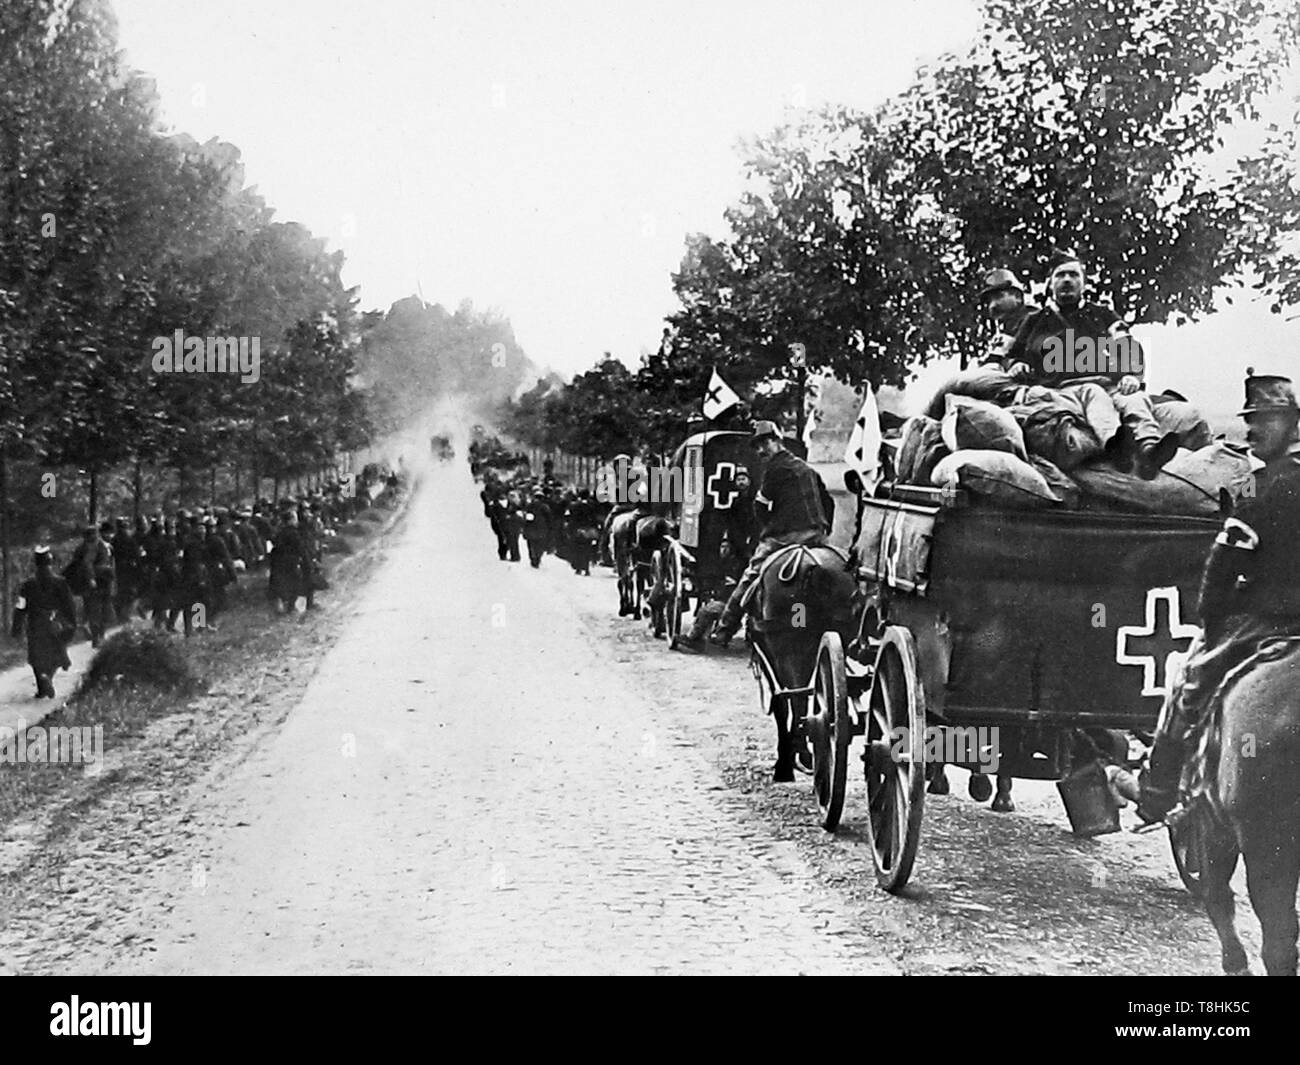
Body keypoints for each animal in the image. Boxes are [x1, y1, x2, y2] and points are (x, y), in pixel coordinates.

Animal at [748, 540, 857, 785]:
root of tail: (807, 562)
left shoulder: (771, 656)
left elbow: (782, 704)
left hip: (785, 649)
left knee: (794, 697)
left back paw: (788, 763)